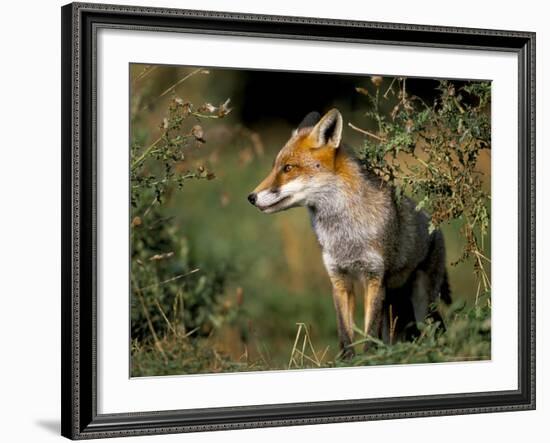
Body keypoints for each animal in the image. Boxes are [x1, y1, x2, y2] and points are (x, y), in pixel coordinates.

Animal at [250, 109, 452, 360]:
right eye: (275, 167)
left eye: (288, 168)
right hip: (395, 304)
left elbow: (369, 334)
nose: (251, 197)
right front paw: (347, 362)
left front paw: (368, 360)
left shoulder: (374, 278)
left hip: (423, 302)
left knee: (436, 329)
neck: (345, 236)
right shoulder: (339, 279)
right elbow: (345, 334)